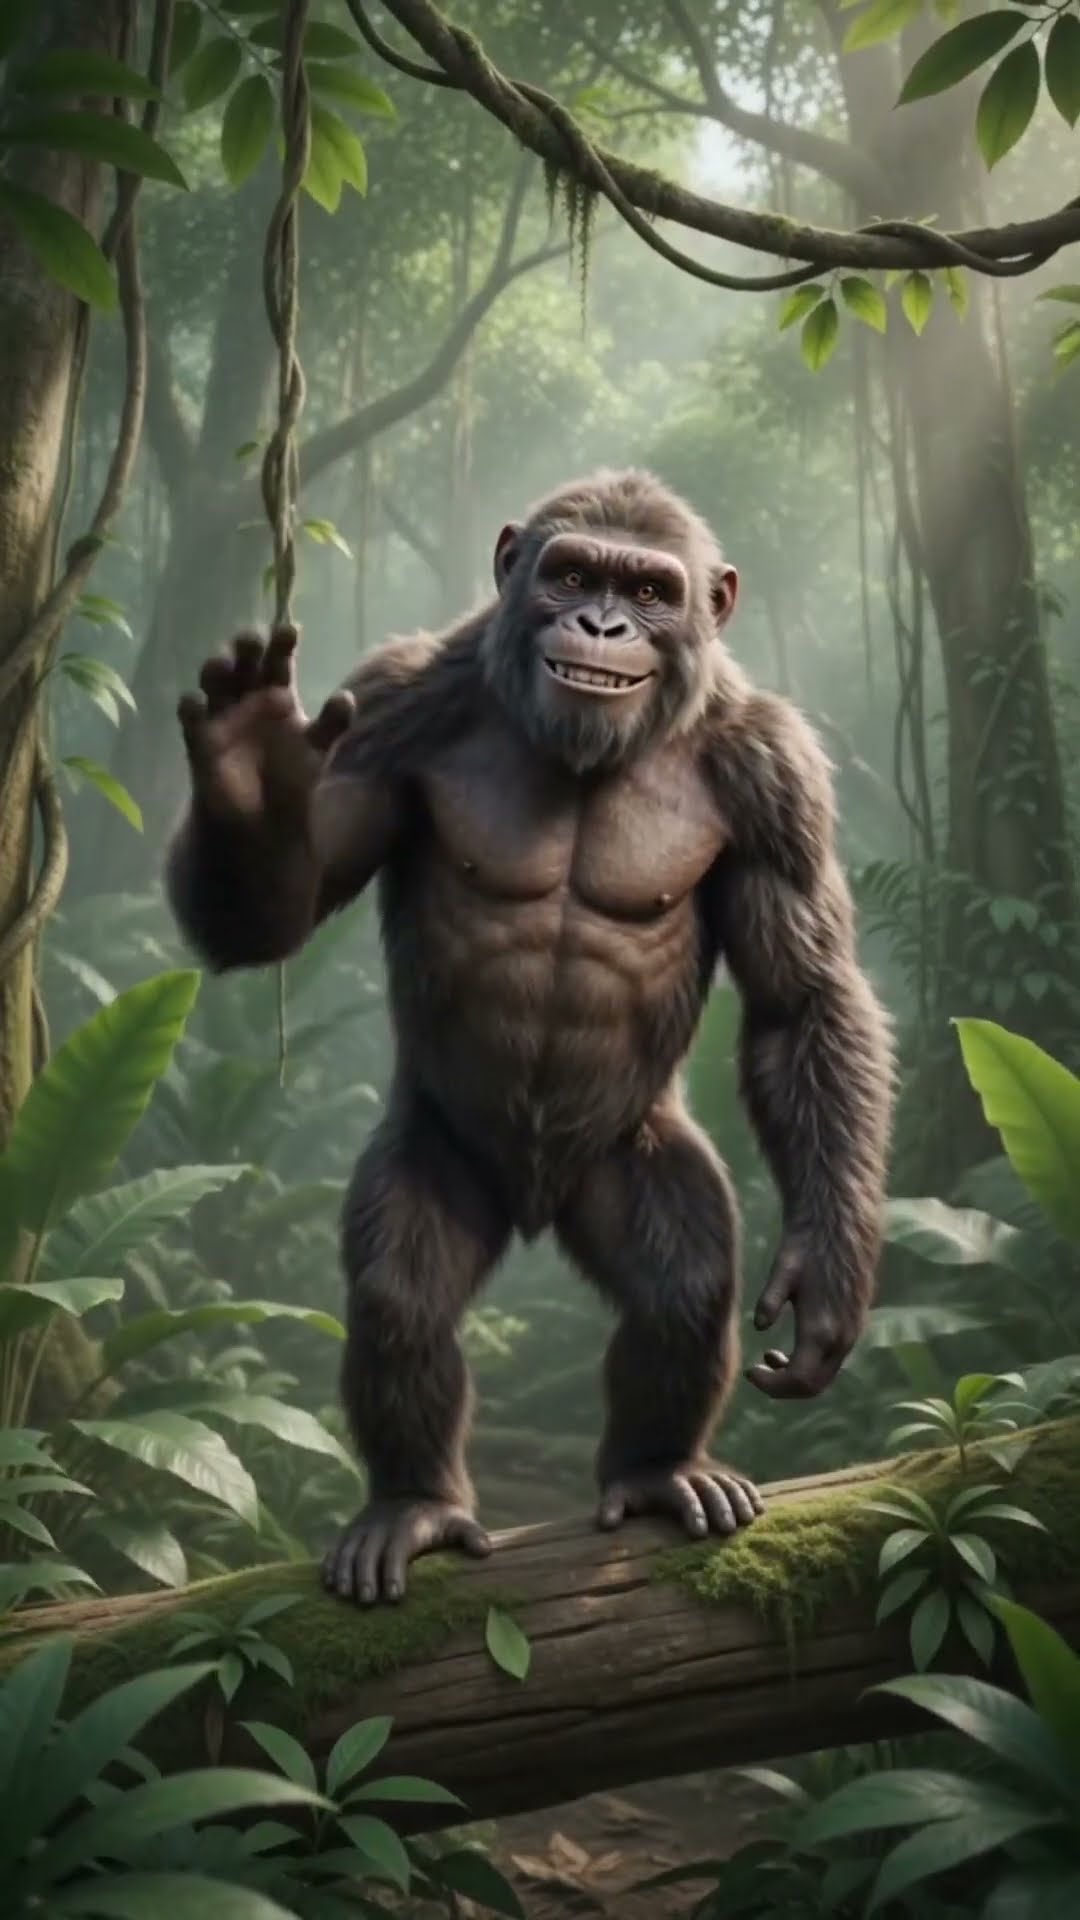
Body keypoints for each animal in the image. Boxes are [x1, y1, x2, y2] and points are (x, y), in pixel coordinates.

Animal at [166, 467, 894, 1607]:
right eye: (573, 574)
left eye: (649, 589)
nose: (601, 624)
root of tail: (541, 1201)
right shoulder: (390, 705)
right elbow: (277, 917)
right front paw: (248, 767)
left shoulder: (777, 774)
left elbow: (800, 1001)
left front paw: (829, 1274)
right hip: (441, 1149)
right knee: (404, 1299)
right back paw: (415, 1502)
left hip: (629, 1158)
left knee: (683, 1288)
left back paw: (656, 1470)